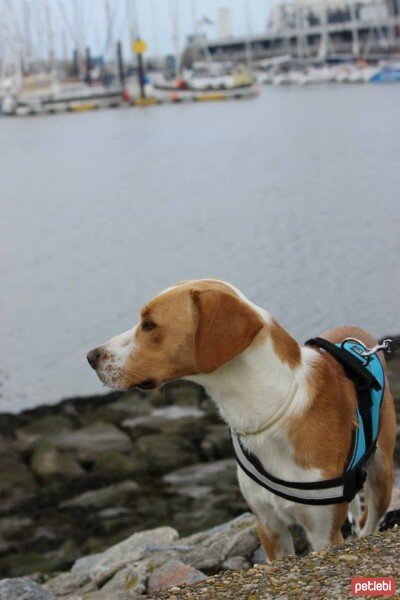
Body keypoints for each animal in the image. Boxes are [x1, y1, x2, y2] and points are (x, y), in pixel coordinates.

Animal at [86, 278, 396, 560]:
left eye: (149, 325)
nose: (90, 356)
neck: (261, 410)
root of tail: (357, 336)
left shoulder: (324, 532)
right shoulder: (268, 525)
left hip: (381, 476)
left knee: (372, 518)